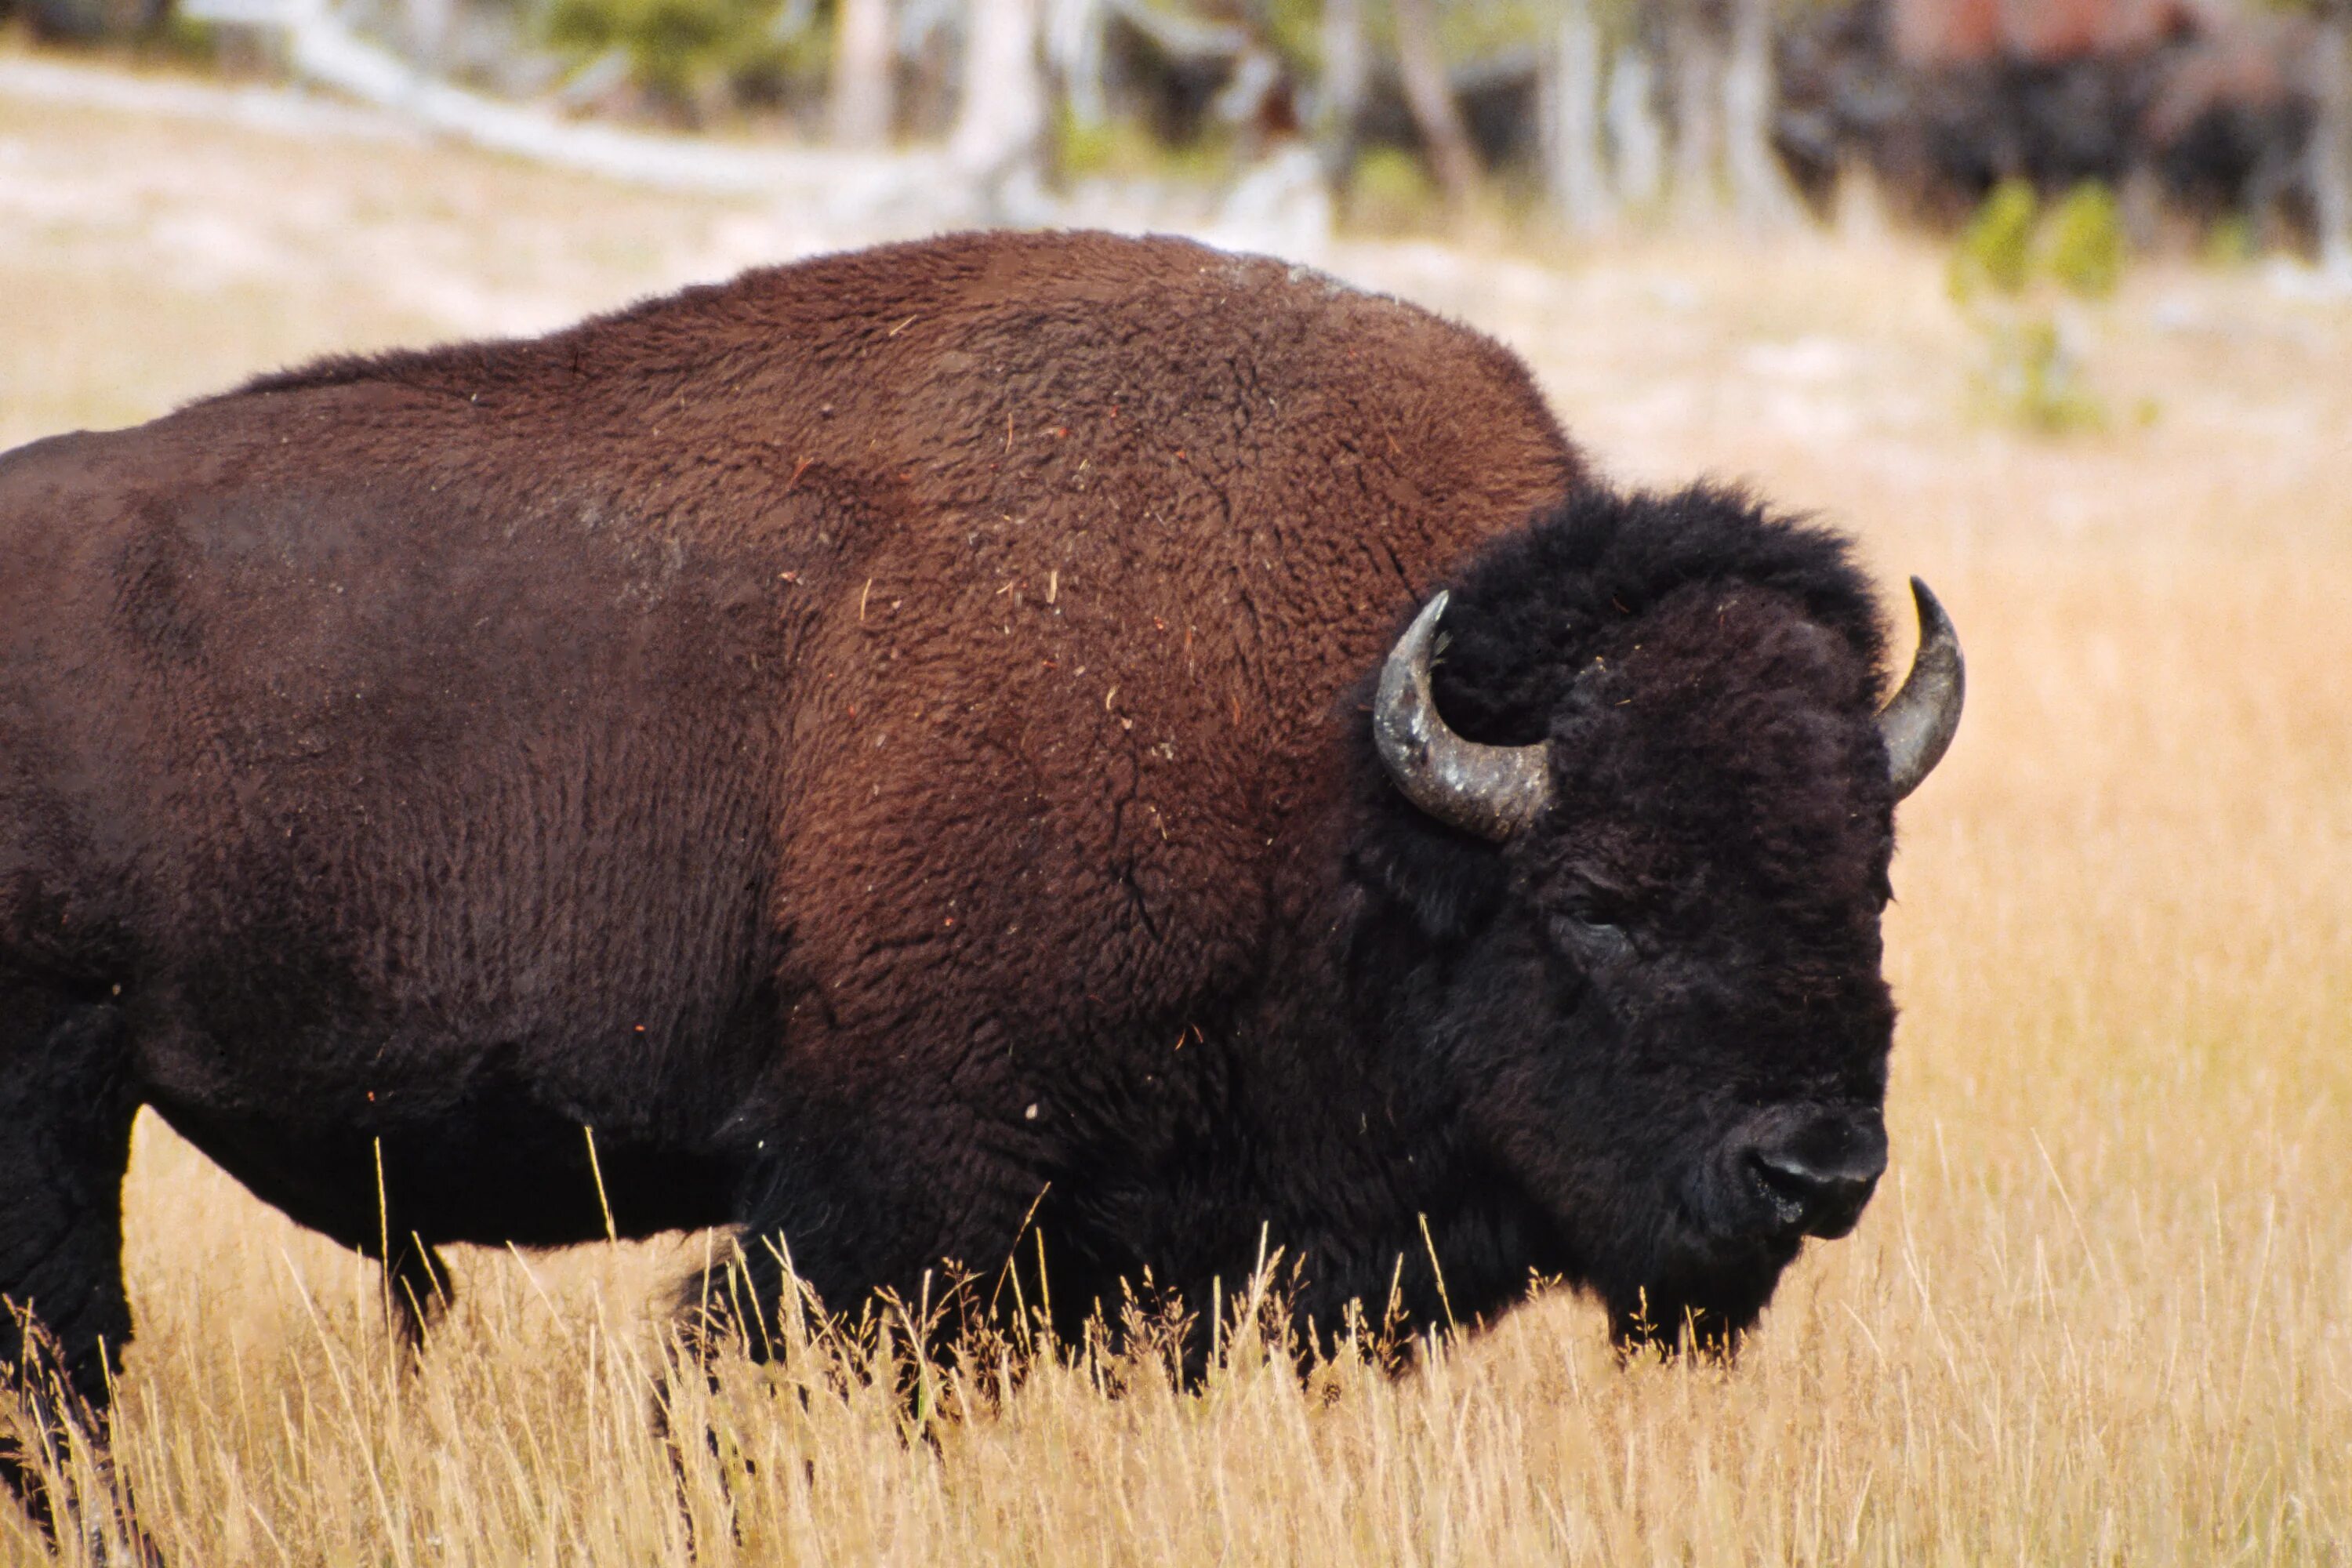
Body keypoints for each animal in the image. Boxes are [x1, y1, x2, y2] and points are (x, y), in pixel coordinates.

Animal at [0, 230, 1947, 1504]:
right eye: (1605, 899)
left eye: (1868, 884)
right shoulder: (901, 1177)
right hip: (57, 1074)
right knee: (65, 1354)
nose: (1817, 1170)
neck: (1340, 763)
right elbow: (756, 1381)